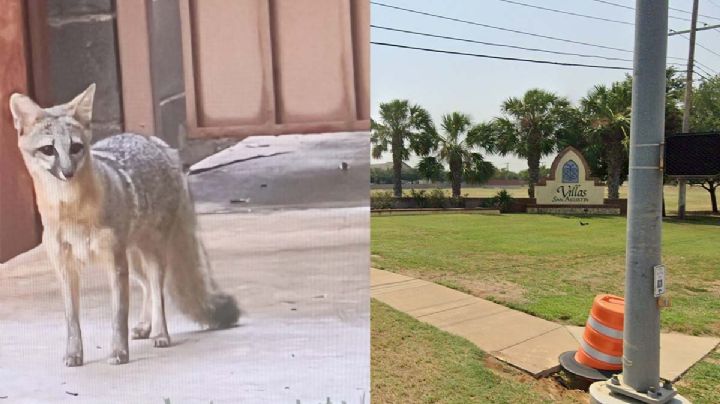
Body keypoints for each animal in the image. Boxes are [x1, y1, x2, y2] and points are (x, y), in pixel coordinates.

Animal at [9, 84, 240, 366]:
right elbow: (72, 320)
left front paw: (119, 352)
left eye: (75, 147)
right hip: (134, 259)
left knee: (158, 291)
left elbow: (118, 315)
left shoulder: (114, 263)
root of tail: (158, 143)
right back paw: (145, 326)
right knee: (148, 288)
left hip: (150, 256)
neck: (71, 212)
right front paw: (74, 353)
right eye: (48, 150)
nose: (68, 172)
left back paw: (160, 333)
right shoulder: (65, 267)